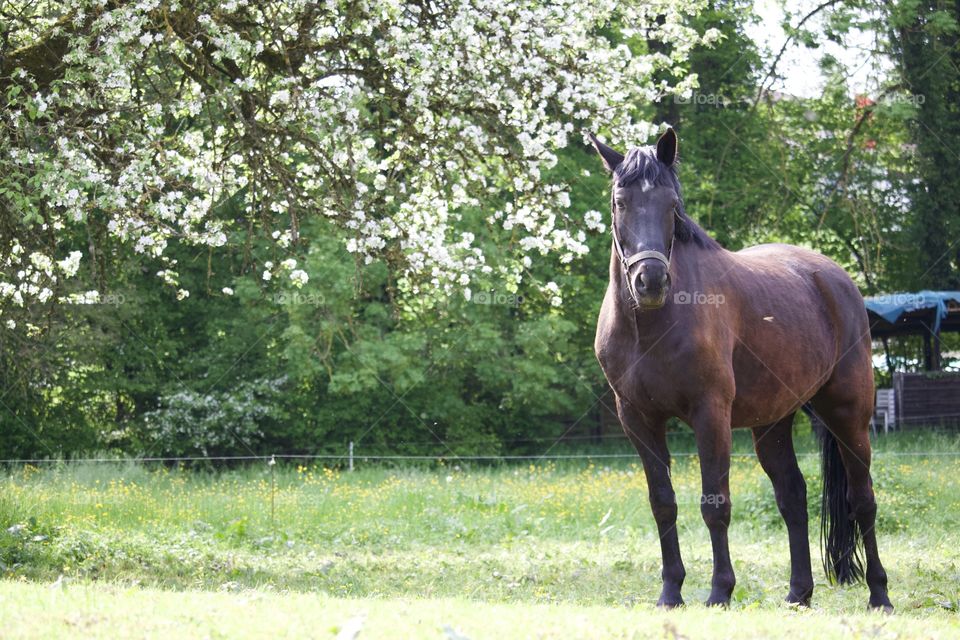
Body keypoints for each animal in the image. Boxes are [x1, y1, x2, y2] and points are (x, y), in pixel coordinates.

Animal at [588, 128, 893, 611]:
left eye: (672, 205)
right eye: (620, 201)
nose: (650, 282)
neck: (651, 325)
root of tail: (834, 277)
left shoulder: (710, 414)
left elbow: (715, 503)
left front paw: (719, 590)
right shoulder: (637, 419)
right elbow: (663, 503)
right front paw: (671, 592)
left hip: (848, 415)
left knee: (862, 499)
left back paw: (879, 594)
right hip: (772, 423)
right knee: (793, 496)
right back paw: (798, 593)